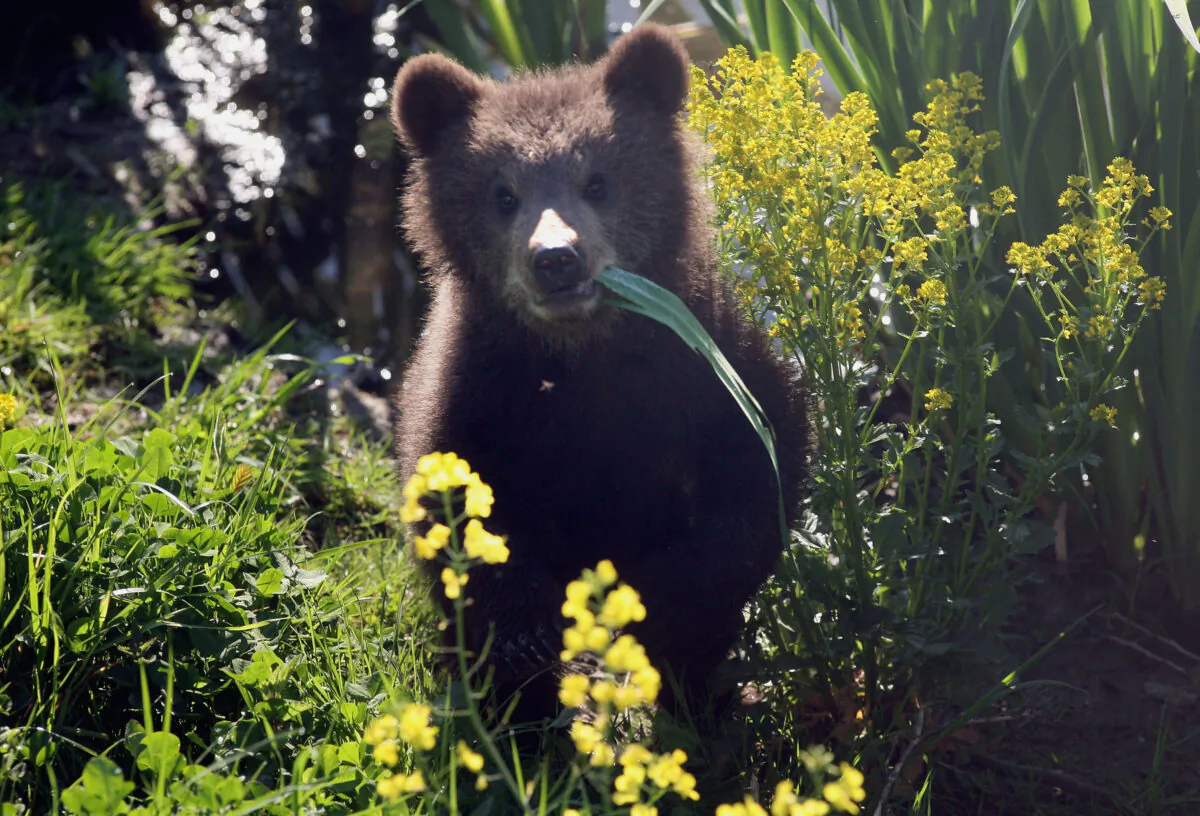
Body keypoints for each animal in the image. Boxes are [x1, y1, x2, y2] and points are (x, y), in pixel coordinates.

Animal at [388, 23, 810, 716]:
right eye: (503, 194)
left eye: (597, 182)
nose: (556, 258)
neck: (583, 357)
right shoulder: (477, 391)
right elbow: (457, 509)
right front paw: (524, 639)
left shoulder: (708, 365)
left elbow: (757, 481)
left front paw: (665, 607)